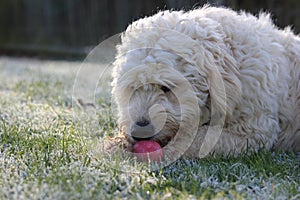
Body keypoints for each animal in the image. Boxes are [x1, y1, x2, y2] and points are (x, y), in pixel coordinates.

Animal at [110, 6, 300, 159]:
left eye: (165, 87)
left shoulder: (253, 130)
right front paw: (116, 143)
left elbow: (196, 139)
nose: (138, 132)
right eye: (133, 88)